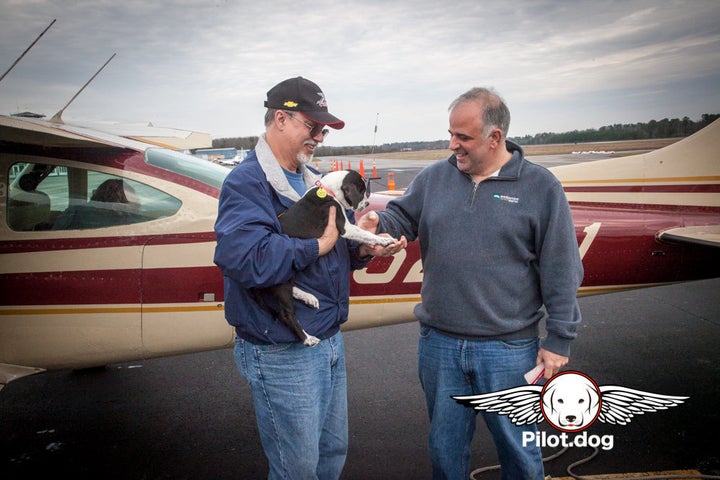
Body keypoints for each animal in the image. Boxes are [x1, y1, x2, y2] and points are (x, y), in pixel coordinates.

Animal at [253, 171, 396, 346]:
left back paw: (308, 297)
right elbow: (366, 234)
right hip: (281, 280)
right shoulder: (345, 227)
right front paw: (384, 240)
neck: (328, 190)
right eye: (361, 191)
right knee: (287, 314)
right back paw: (307, 338)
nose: (367, 203)